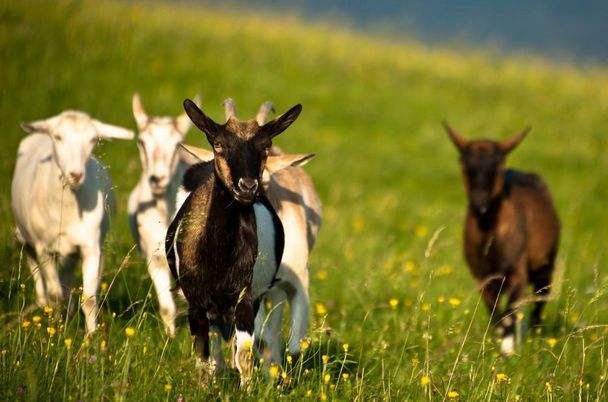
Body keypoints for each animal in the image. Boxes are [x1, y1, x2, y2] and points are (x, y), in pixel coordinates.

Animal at [11, 110, 133, 332]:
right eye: (58, 137)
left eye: (93, 139)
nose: (76, 175)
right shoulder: (44, 248)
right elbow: (55, 294)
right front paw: (55, 329)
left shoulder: (90, 247)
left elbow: (89, 299)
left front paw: (90, 336)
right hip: (24, 235)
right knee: (33, 263)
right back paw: (43, 304)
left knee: (66, 281)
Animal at [126, 94, 195, 336]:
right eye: (141, 142)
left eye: (176, 144)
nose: (157, 178)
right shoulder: (153, 256)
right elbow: (166, 308)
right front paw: (170, 337)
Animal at [444, 121, 560, 354]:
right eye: (464, 163)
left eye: (498, 166)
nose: (480, 201)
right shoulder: (481, 276)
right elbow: (495, 311)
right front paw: (501, 341)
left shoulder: (517, 270)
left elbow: (511, 310)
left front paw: (508, 350)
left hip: (545, 264)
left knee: (540, 298)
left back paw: (534, 333)